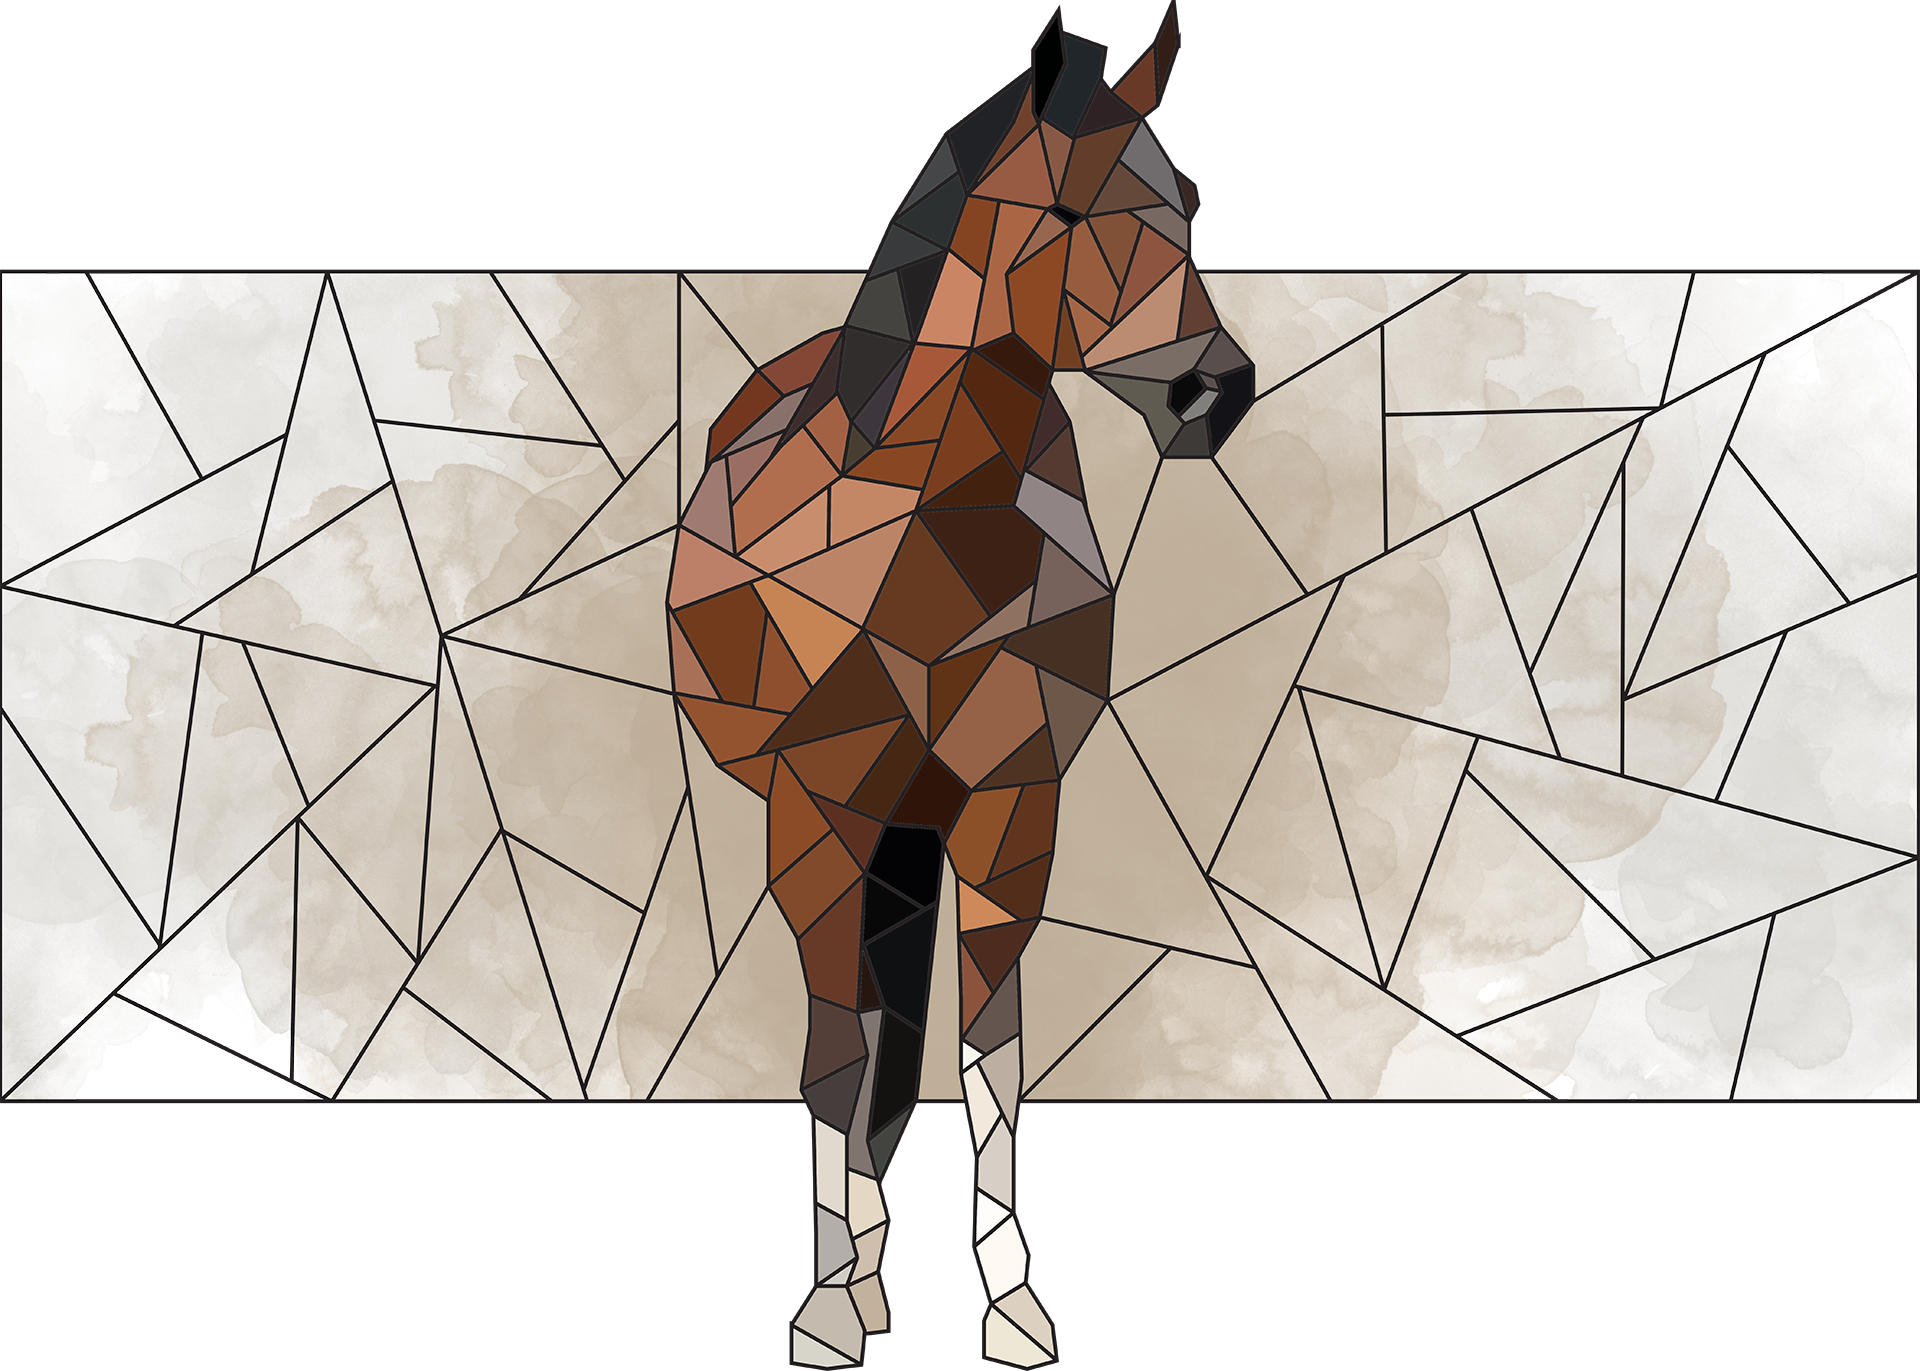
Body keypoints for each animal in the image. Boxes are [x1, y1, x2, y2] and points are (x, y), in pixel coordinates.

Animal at [666, 19, 1253, 1364]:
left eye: (1185, 207)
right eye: (1071, 206)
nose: (1216, 394)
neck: (918, 530)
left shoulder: (1009, 806)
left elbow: (993, 1050)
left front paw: (1016, 1307)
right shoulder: (818, 817)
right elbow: (837, 1060)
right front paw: (830, 1308)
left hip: (917, 831)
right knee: (860, 1037)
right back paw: (861, 1272)